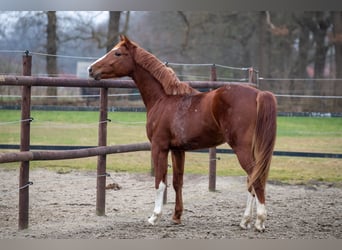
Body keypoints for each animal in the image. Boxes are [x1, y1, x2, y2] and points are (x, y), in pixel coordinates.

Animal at [87, 35, 276, 232]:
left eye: (117, 53)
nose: (91, 69)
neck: (163, 99)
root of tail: (259, 94)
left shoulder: (159, 148)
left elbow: (160, 182)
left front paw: (154, 217)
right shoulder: (178, 150)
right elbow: (178, 182)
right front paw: (176, 216)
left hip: (241, 148)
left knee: (256, 179)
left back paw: (259, 221)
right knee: (252, 179)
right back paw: (245, 221)